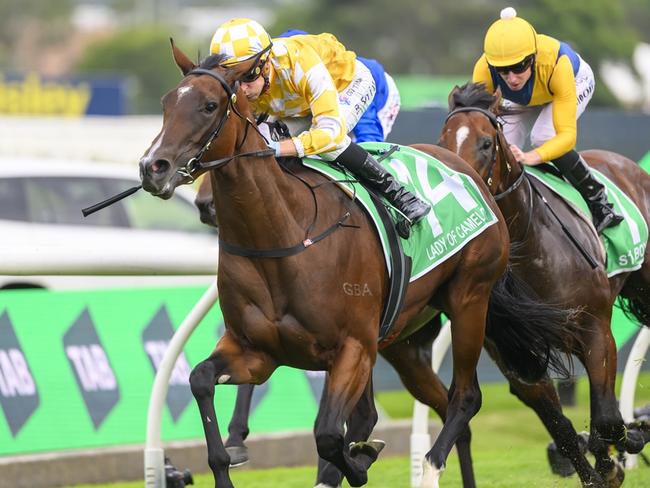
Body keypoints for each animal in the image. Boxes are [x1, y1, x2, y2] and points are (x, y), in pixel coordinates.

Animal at [138, 43, 572, 488]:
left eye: (209, 106)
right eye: (166, 103)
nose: (153, 167)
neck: (283, 233)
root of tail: (469, 173)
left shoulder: (353, 347)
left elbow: (329, 434)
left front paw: (359, 460)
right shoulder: (256, 351)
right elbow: (200, 381)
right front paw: (232, 453)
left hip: (469, 300)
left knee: (465, 398)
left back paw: (429, 464)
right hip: (406, 341)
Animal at [438, 83, 644, 488]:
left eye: (486, 143)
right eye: (443, 140)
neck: (530, 244)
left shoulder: (595, 329)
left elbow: (606, 418)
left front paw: (628, 442)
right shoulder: (514, 355)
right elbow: (561, 427)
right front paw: (600, 469)